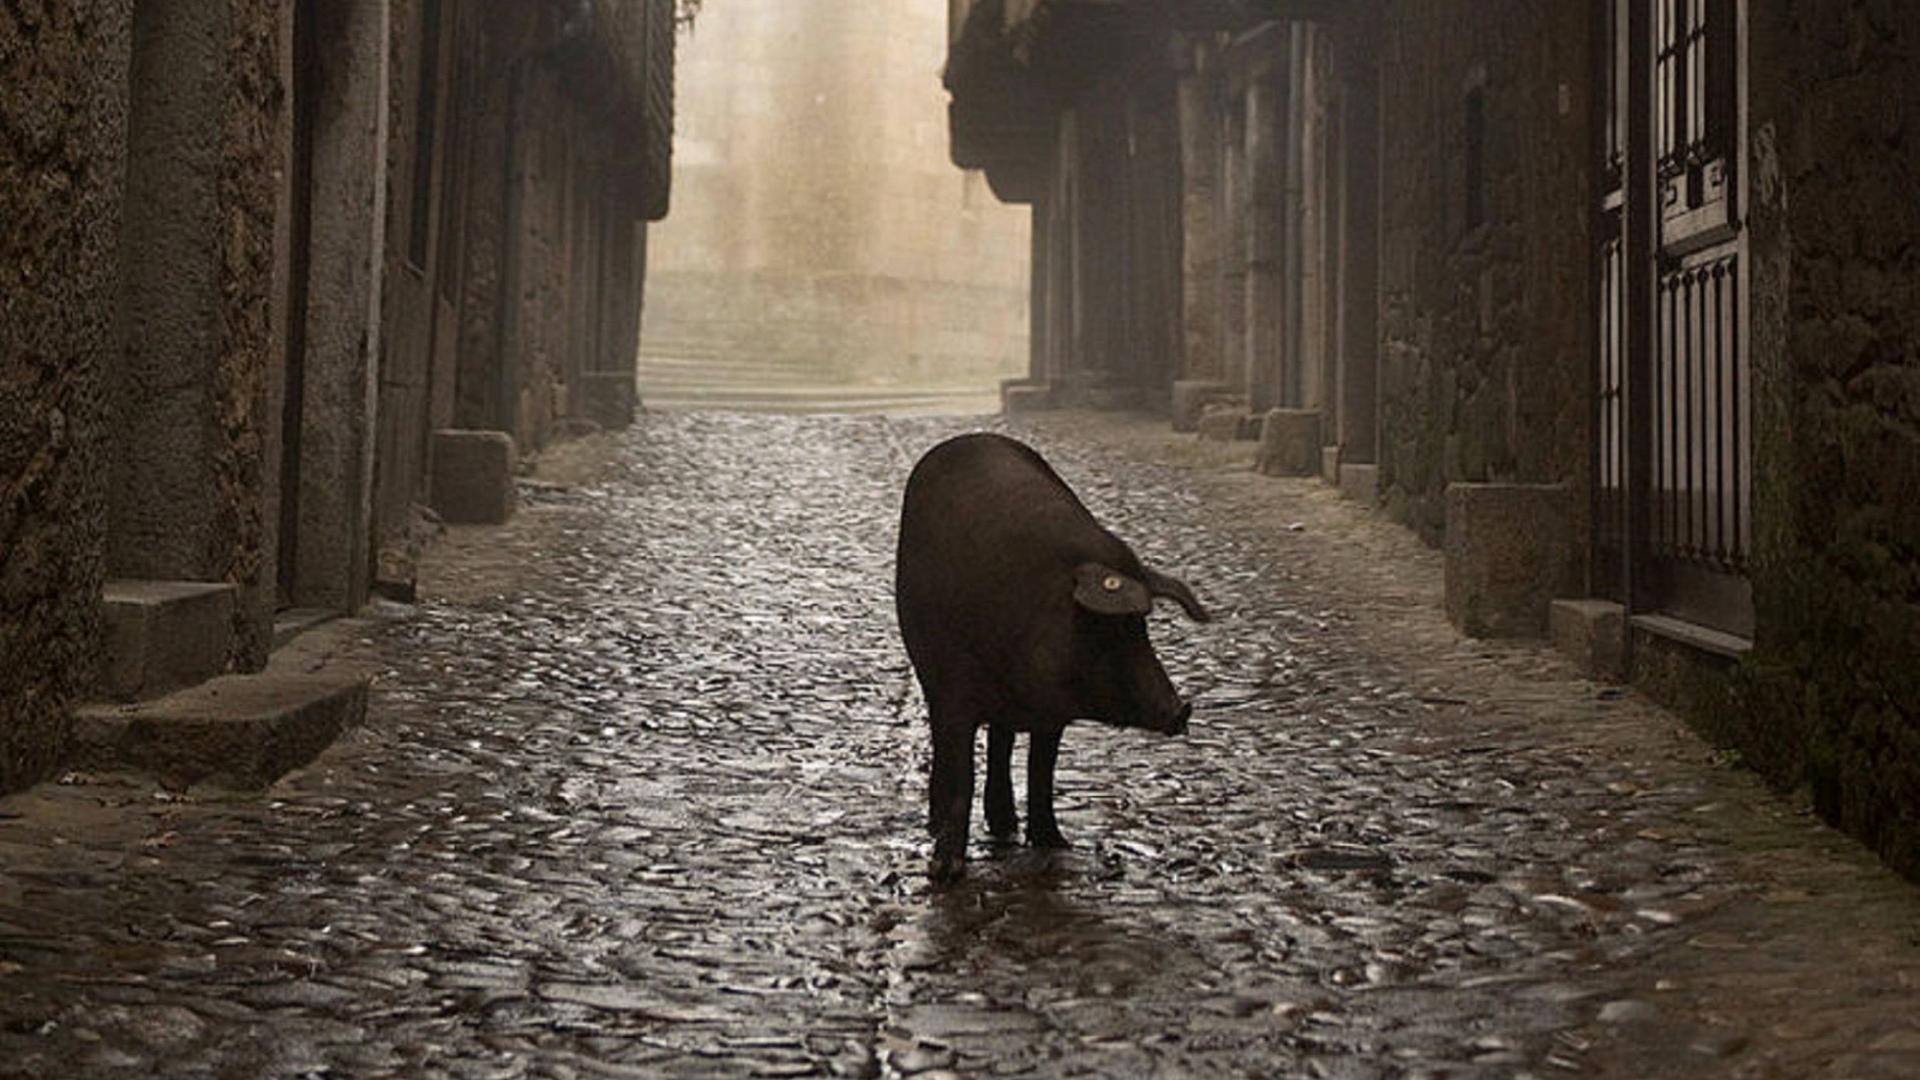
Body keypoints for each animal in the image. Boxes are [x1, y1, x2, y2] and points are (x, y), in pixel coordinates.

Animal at [890, 430, 1205, 883]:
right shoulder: (954, 690)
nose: (1181, 710)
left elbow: (1042, 772)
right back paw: (946, 827)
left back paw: (1005, 826)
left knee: (1001, 742)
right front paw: (944, 871)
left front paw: (1056, 844)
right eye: (1106, 627)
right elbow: (963, 772)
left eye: (1141, 626)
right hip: (928, 672)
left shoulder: (1052, 714)